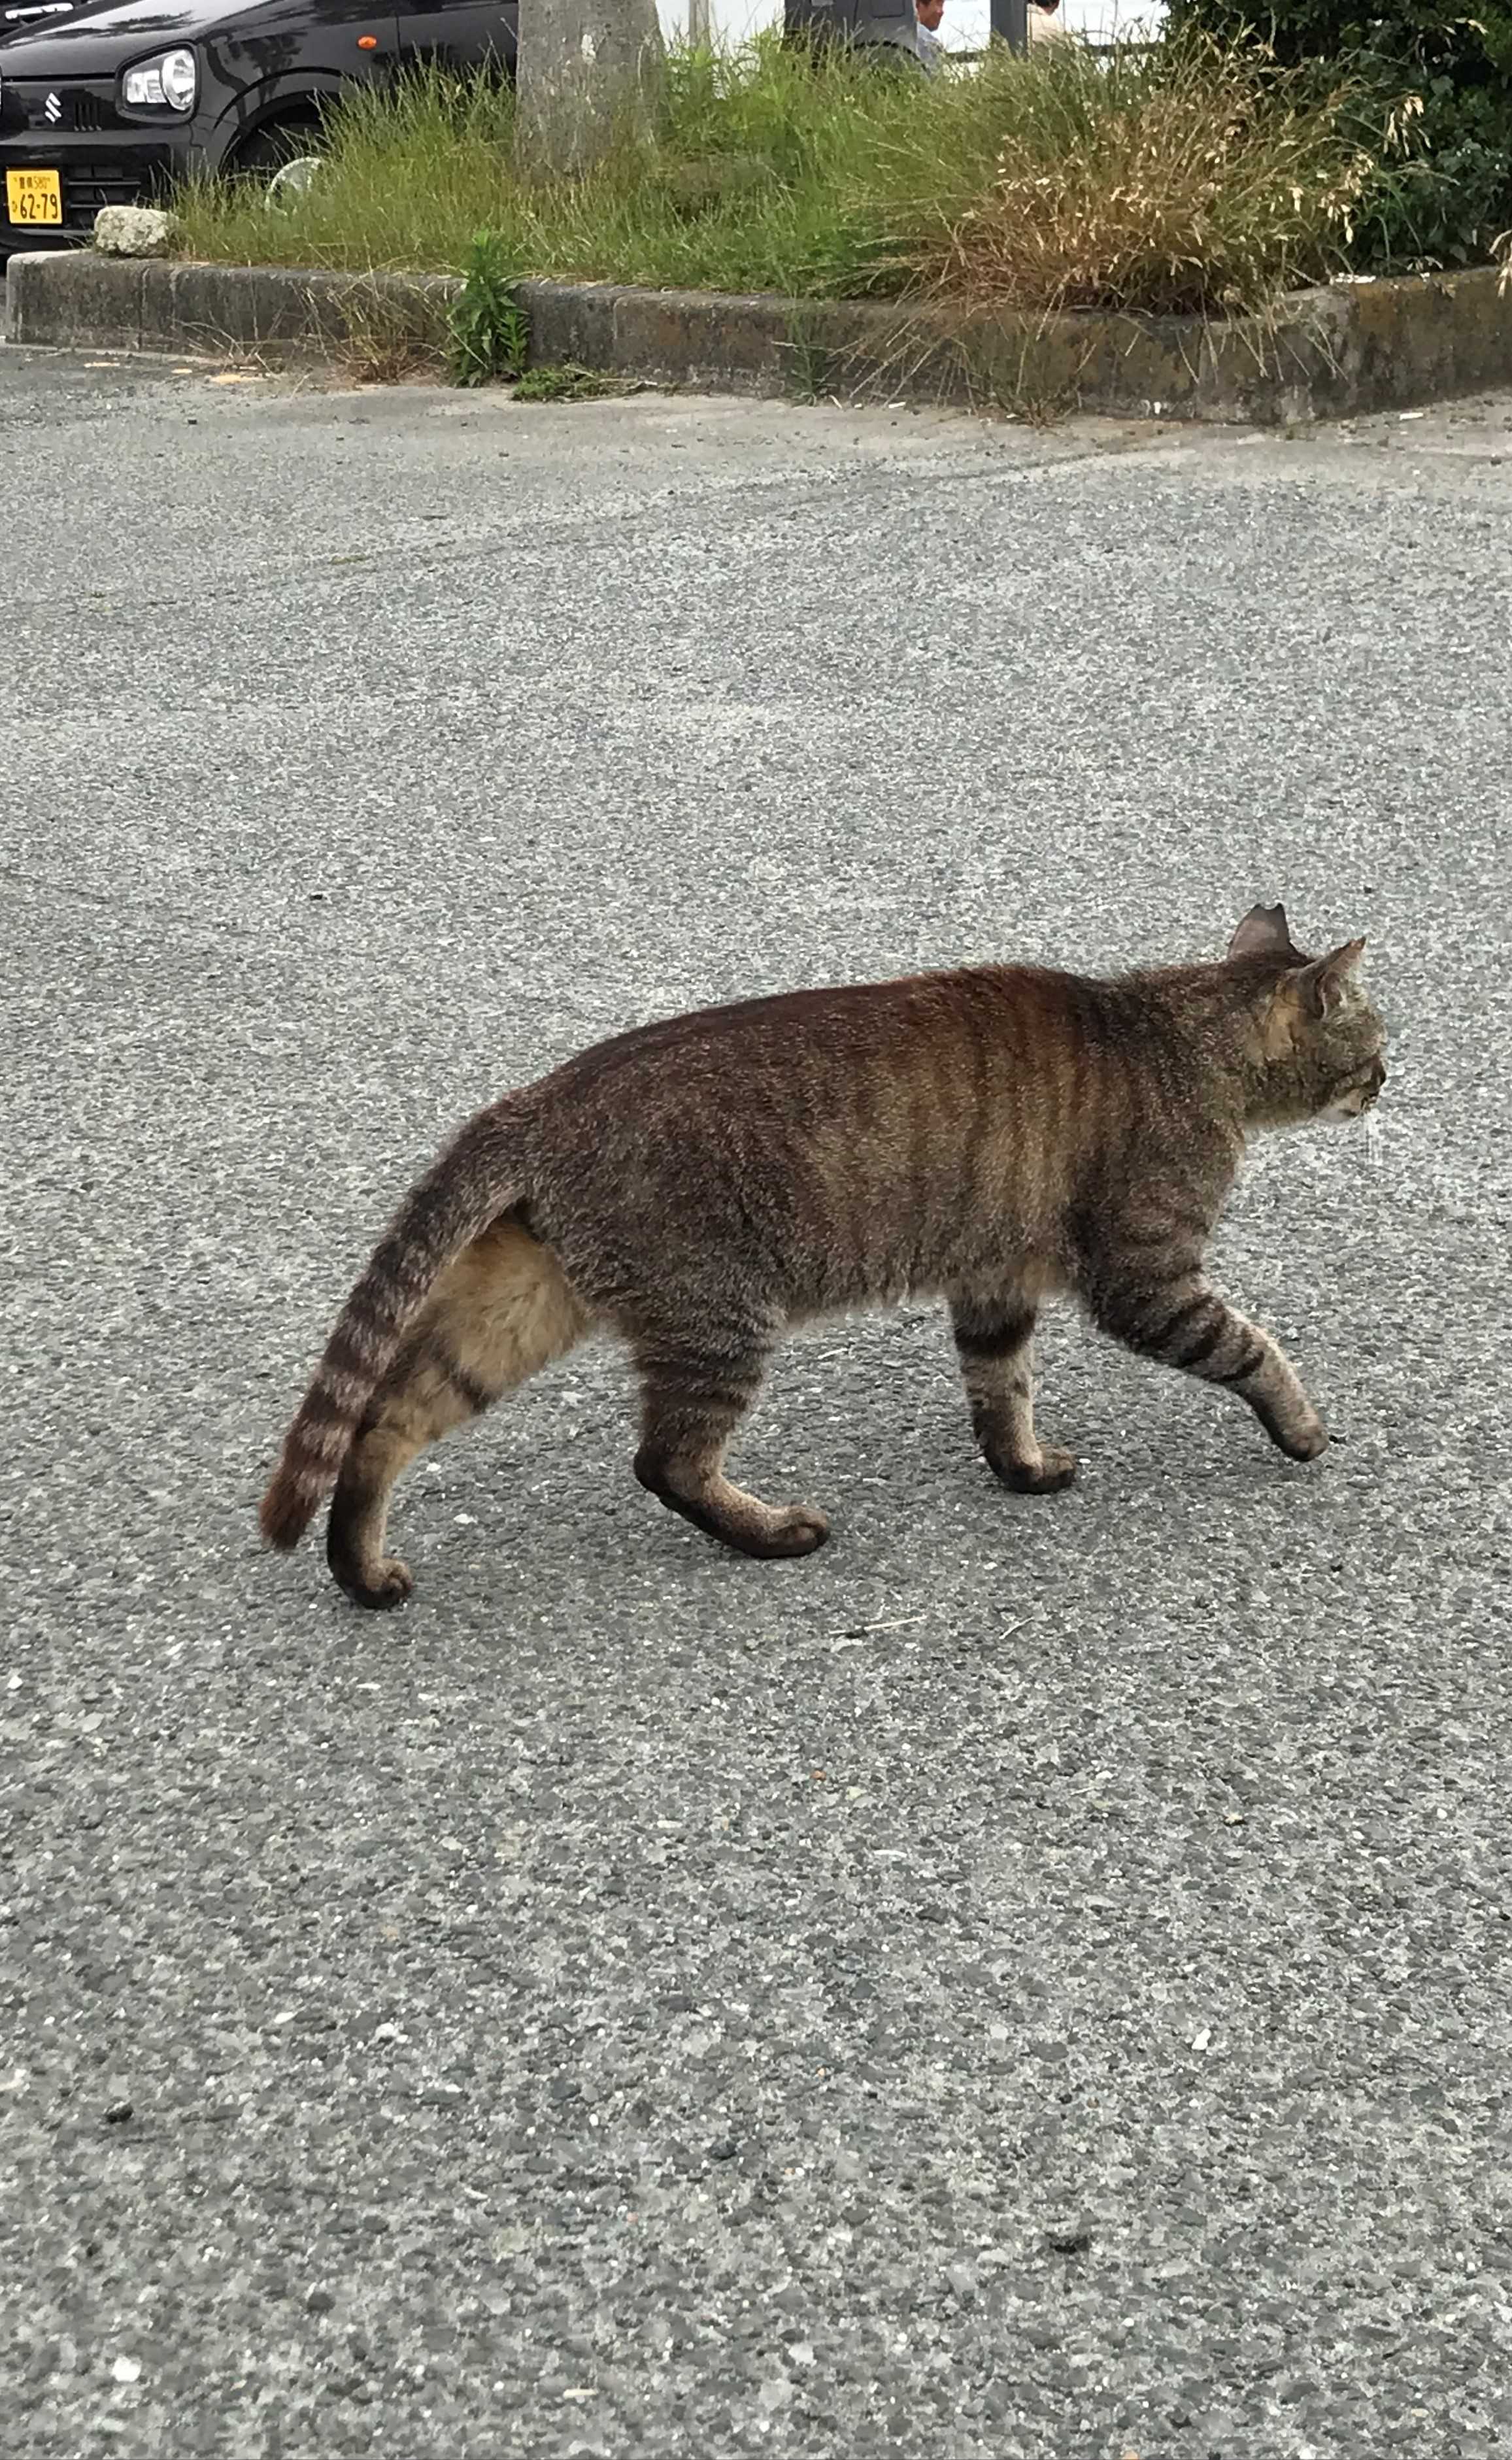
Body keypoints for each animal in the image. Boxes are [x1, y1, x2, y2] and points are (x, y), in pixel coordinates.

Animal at [257, 910, 1386, 1613]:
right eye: (1374, 1042)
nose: (1390, 1076)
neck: (1176, 1038)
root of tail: (542, 1097)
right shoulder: (1145, 1278)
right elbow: (1252, 1346)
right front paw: (1302, 1429)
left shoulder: (994, 1280)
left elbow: (1000, 1388)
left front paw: (1019, 1465)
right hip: (718, 1315)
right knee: (664, 1459)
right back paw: (770, 1533)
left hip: (518, 1309)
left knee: (382, 1420)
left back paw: (361, 1569)